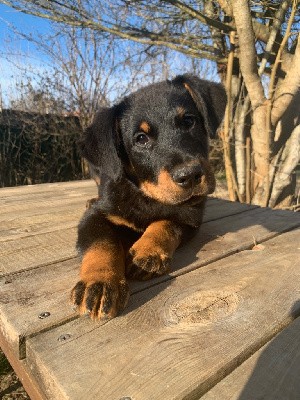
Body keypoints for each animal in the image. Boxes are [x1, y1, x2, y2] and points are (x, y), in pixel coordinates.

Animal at [71, 74, 226, 318]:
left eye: (189, 121)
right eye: (141, 138)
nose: (190, 175)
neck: (145, 193)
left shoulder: (191, 216)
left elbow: (167, 222)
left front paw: (147, 251)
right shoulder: (95, 216)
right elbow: (102, 243)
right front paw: (100, 283)